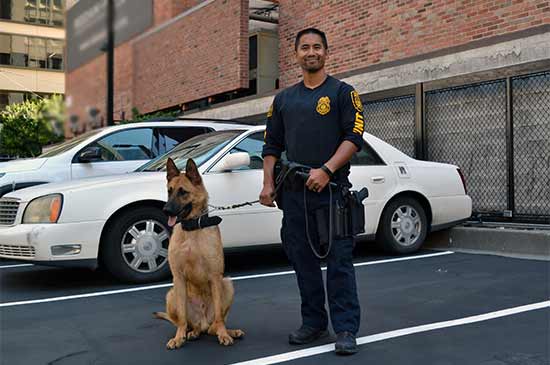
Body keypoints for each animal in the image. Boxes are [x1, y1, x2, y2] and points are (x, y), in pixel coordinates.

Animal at [153, 158, 244, 348]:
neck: (192, 229)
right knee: (190, 324)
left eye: (183, 192)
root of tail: (202, 322)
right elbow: (182, 319)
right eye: (169, 191)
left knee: (214, 325)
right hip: (171, 294)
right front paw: (178, 338)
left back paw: (228, 331)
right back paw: (191, 333)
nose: (165, 210)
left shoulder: (216, 277)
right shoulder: (178, 278)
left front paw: (224, 335)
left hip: (227, 284)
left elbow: (219, 315)